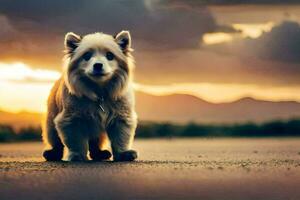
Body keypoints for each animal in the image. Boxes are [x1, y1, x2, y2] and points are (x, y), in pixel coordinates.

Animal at [42, 30, 138, 162]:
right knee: (54, 137)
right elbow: (75, 139)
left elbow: (121, 136)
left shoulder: (121, 113)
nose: (98, 65)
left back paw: (99, 153)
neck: (99, 90)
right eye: (86, 56)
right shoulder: (71, 117)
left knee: (95, 141)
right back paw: (52, 153)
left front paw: (124, 154)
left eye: (110, 55)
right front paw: (77, 155)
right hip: (51, 116)